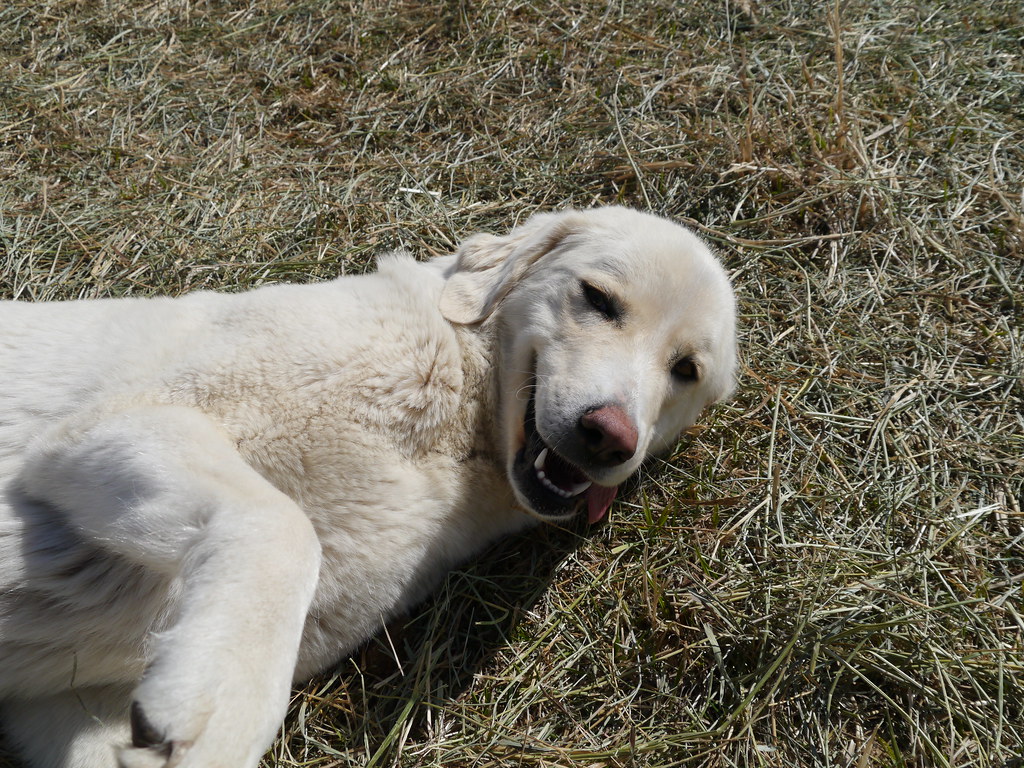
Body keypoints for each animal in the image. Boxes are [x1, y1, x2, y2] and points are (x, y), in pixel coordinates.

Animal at [0, 207, 737, 765]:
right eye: (598, 299)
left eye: (686, 369)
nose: (610, 437)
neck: (454, 427)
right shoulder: (111, 422)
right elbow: (284, 526)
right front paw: (224, 700)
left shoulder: (72, 706)